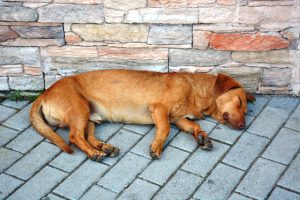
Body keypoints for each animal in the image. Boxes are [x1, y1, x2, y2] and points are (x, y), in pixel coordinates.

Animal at [30, 70, 255, 161]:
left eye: (245, 110)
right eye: (239, 101)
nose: (243, 126)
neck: (194, 89)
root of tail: (44, 94)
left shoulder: (179, 118)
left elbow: (195, 127)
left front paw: (202, 136)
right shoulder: (160, 110)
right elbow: (164, 130)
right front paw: (156, 147)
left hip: (91, 117)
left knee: (87, 136)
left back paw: (105, 148)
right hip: (79, 110)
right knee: (74, 136)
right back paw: (94, 153)